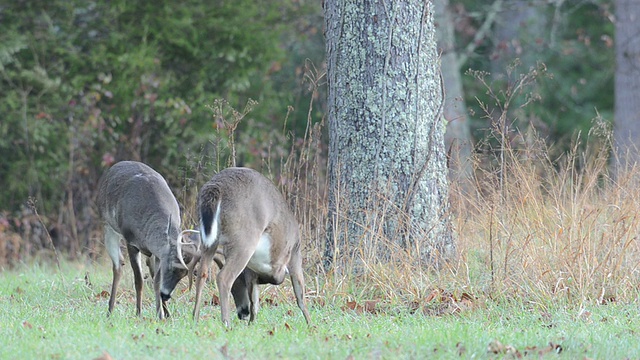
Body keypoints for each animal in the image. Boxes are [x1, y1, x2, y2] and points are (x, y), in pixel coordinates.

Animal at [96, 162, 198, 320]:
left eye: (184, 274)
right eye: (171, 267)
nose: (166, 295)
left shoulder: (159, 253)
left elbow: (156, 281)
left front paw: (162, 314)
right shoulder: (131, 241)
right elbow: (139, 280)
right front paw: (138, 312)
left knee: (147, 267)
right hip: (108, 227)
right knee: (118, 266)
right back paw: (110, 310)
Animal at [178, 167, 312, 328]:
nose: (243, 313)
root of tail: (215, 187)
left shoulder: (250, 273)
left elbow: (255, 303)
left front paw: (251, 325)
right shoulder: (294, 252)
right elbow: (300, 297)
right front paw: (311, 325)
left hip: (210, 241)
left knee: (202, 273)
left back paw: (195, 320)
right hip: (245, 240)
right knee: (223, 277)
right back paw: (226, 323)